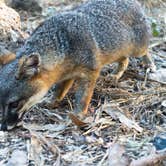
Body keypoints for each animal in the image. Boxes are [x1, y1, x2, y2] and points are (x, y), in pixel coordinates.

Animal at [0, 0, 156, 130]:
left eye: (14, 104)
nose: (3, 127)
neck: (63, 46)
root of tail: (132, 2)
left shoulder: (90, 72)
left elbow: (83, 97)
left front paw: (78, 115)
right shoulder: (67, 74)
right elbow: (59, 90)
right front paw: (53, 100)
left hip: (137, 49)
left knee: (144, 51)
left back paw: (149, 63)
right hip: (117, 50)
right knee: (125, 60)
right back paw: (116, 74)